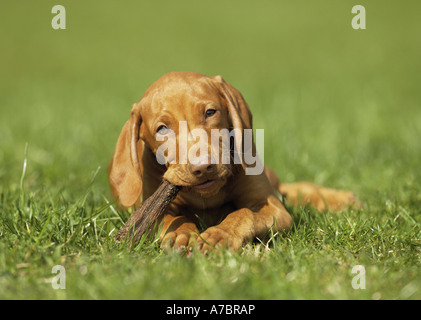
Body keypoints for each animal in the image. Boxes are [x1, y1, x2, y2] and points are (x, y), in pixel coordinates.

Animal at [108, 71, 354, 254]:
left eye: (210, 112)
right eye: (162, 129)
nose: (203, 167)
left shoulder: (272, 207)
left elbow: (244, 214)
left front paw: (220, 235)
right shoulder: (155, 206)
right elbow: (172, 217)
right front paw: (182, 235)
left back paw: (339, 199)